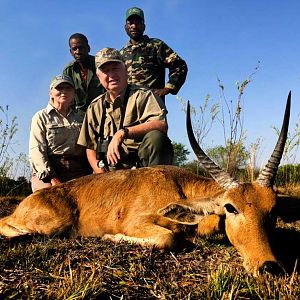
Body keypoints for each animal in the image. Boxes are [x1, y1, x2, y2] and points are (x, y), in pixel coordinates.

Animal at [0, 92, 290, 276]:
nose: (269, 266)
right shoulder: (139, 222)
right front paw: (110, 236)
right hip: (54, 223)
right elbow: (168, 238)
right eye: (231, 207)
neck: (178, 184)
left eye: (272, 209)